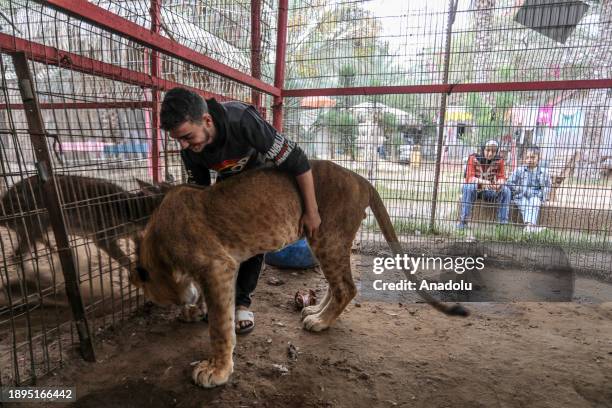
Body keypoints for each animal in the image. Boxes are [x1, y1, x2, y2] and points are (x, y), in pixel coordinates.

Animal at [131, 159, 466, 388]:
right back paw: (315, 311)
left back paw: (319, 322)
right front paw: (194, 310)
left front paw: (217, 370)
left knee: (347, 286)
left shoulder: (219, 267)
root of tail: (361, 179)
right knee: (337, 283)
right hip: (327, 239)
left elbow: (220, 327)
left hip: (327, 236)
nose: (182, 302)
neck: (158, 239)